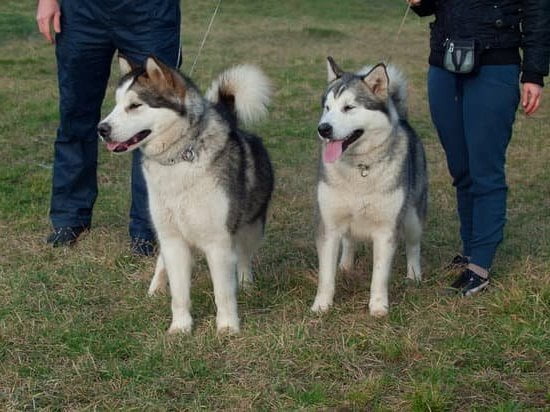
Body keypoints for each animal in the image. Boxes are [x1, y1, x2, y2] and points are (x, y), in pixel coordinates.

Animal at [98, 56, 274, 334]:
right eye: (116, 104)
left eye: (134, 105)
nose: (101, 129)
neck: (178, 160)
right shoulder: (173, 240)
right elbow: (179, 293)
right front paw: (180, 327)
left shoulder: (218, 242)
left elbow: (223, 292)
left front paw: (227, 327)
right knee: (162, 261)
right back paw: (156, 287)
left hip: (251, 226)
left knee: (244, 255)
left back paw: (246, 283)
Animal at [312, 56, 430, 318]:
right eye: (327, 107)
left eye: (349, 107)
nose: (323, 129)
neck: (360, 168)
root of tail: (403, 119)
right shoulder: (329, 225)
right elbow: (326, 276)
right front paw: (322, 305)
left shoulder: (386, 230)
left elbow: (379, 275)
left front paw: (378, 306)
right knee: (349, 240)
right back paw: (345, 265)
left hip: (413, 218)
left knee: (414, 246)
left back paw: (414, 275)